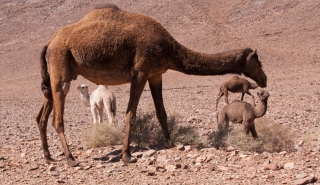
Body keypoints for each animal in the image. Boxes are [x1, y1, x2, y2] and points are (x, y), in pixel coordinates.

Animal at [35, 4, 268, 166]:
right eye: (257, 59)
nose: (264, 78)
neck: (169, 47)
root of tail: (49, 42)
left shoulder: (156, 74)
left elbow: (161, 112)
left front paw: (169, 143)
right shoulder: (140, 72)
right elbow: (131, 114)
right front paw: (126, 155)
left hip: (56, 75)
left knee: (41, 116)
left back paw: (48, 157)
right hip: (60, 68)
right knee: (57, 119)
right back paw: (70, 159)